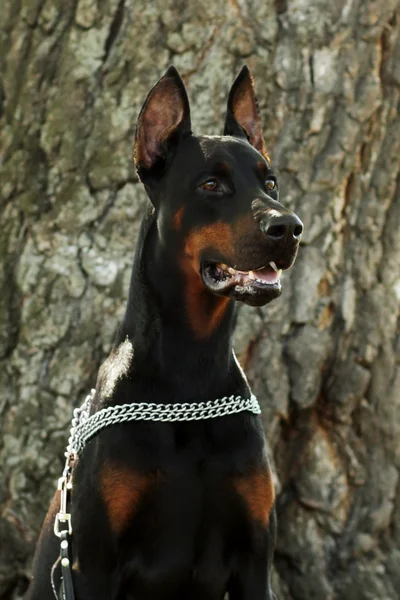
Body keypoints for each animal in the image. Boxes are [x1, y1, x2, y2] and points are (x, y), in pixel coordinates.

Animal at [26, 67, 304, 600]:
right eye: (211, 183)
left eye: (271, 182)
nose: (290, 227)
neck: (189, 374)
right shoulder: (91, 563)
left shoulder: (255, 558)